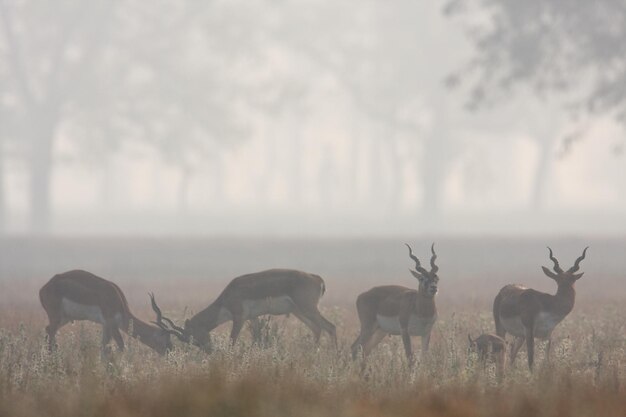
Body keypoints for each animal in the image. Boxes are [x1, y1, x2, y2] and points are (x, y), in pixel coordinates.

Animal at [38, 270, 176, 354]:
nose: (171, 352)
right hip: (56, 317)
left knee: (47, 330)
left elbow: (104, 348)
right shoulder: (112, 323)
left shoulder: (106, 325)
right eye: (166, 338)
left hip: (64, 318)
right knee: (50, 332)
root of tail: (43, 288)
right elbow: (121, 346)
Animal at [151, 268, 336, 346]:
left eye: (193, 337)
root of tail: (316, 278)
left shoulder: (238, 317)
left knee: (330, 326)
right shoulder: (252, 318)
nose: (209, 351)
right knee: (317, 329)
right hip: (299, 311)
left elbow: (232, 340)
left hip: (307, 309)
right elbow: (258, 338)